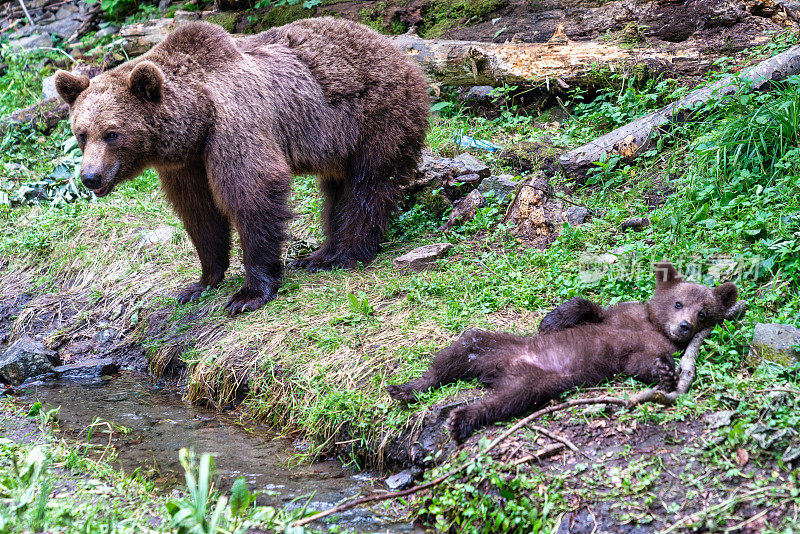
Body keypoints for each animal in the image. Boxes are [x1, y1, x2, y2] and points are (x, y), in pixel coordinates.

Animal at [54, 19, 432, 314]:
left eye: (112, 133)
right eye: (81, 133)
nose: (90, 177)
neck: (197, 118)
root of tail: (400, 53)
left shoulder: (235, 122)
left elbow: (253, 191)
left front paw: (248, 293)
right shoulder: (187, 163)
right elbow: (199, 212)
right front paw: (200, 282)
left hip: (376, 116)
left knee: (368, 185)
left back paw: (347, 254)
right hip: (339, 143)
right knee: (336, 191)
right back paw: (319, 255)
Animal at [388, 262, 736, 444]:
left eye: (703, 313)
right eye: (678, 302)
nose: (685, 326)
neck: (652, 327)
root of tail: (499, 368)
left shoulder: (642, 349)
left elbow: (642, 363)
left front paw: (665, 372)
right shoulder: (622, 317)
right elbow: (590, 308)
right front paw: (552, 320)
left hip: (535, 382)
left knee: (503, 401)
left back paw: (461, 418)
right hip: (497, 345)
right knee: (462, 347)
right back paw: (407, 388)